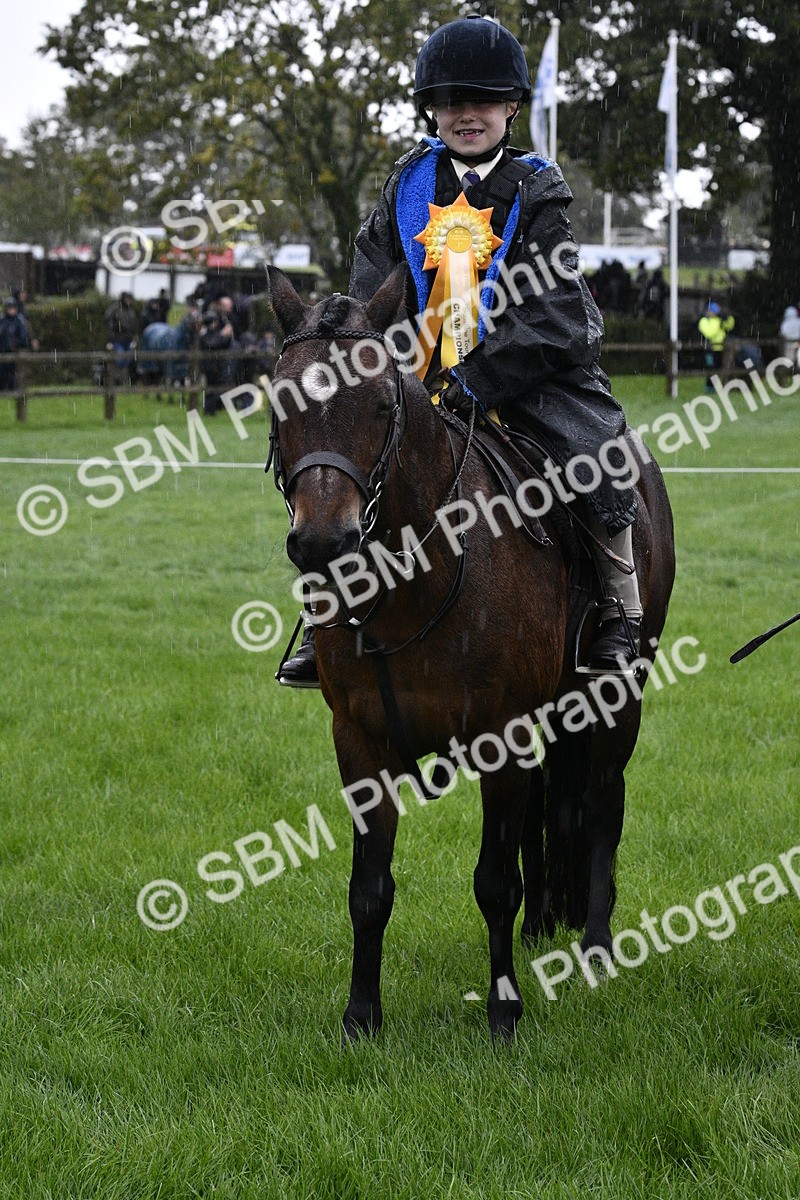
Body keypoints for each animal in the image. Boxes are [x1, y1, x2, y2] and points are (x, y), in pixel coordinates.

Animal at [267, 264, 676, 1041]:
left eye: (381, 402)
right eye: (282, 403)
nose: (324, 543)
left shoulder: (499, 734)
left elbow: (494, 882)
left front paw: (504, 1012)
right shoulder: (359, 740)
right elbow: (369, 887)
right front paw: (361, 1016)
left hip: (618, 694)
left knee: (601, 802)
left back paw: (595, 945)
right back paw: (546, 923)